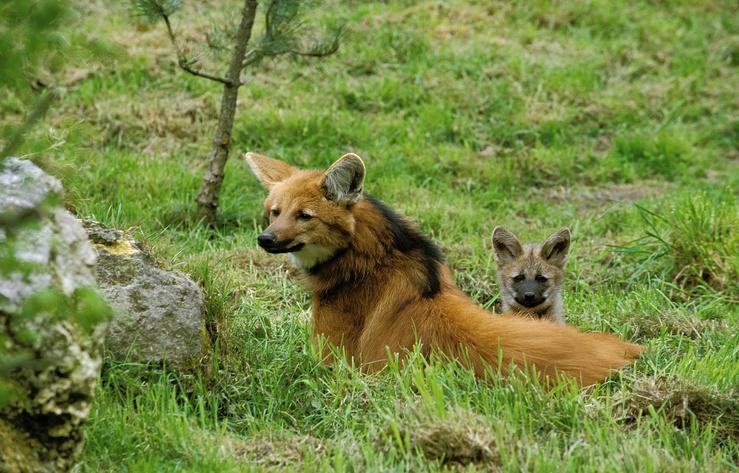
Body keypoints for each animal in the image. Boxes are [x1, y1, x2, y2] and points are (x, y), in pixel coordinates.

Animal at [246, 153, 640, 386]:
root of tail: (631, 352)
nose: (265, 239)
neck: (370, 259)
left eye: (304, 216)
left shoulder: (334, 358)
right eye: (274, 212)